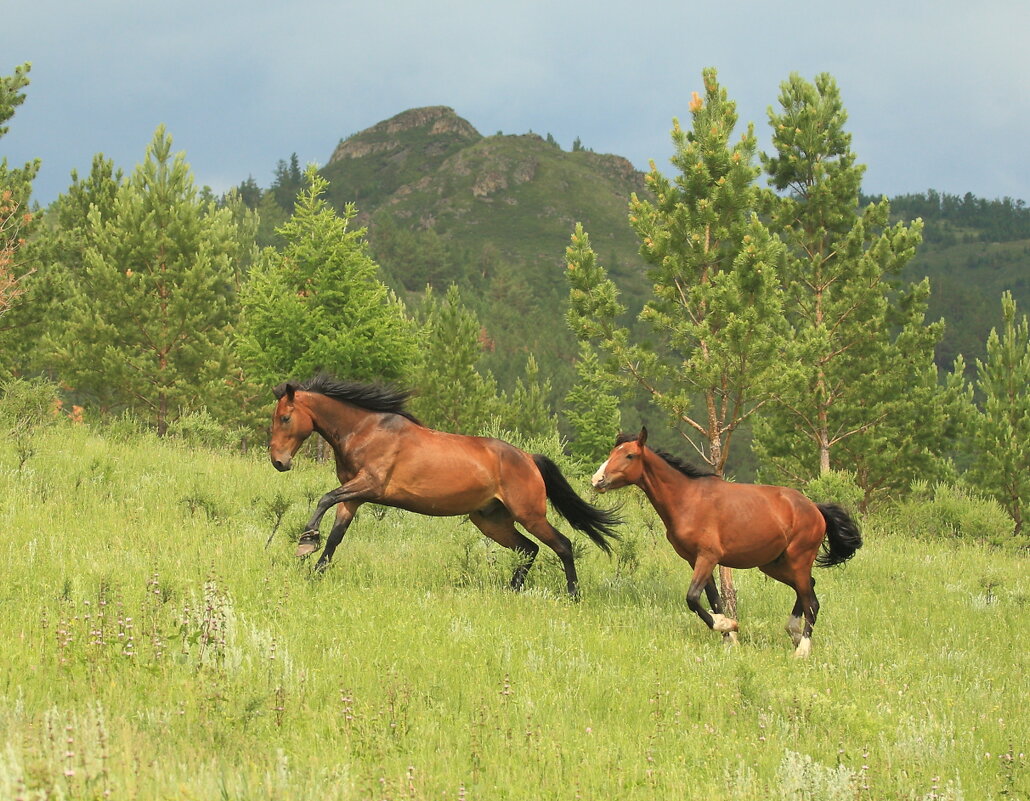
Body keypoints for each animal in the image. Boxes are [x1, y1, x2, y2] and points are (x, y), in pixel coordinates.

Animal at [267, 374, 618, 593]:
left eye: (285, 417)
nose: (278, 462)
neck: (366, 430)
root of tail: (529, 458)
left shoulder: (370, 485)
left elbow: (324, 499)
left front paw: (305, 542)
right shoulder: (354, 497)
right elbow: (335, 537)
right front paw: (316, 571)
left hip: (529, 514)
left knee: (562, 545)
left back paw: (573, 595)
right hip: (491, 519)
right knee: (528, 549)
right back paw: (512, 590)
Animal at [589, 428, 861, 650]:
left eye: (629, 455)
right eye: (613, 452)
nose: (597, 480)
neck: (688, 500)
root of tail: (815, 508)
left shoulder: (708, 557)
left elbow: (692, 598)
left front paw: (727, 625)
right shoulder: (695, 560)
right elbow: (714, 600)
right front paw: (730, 638)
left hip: (798, 559)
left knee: (812, 602)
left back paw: (802, 650)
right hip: (774, 564)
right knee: (808, 588)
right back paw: (793, 632)